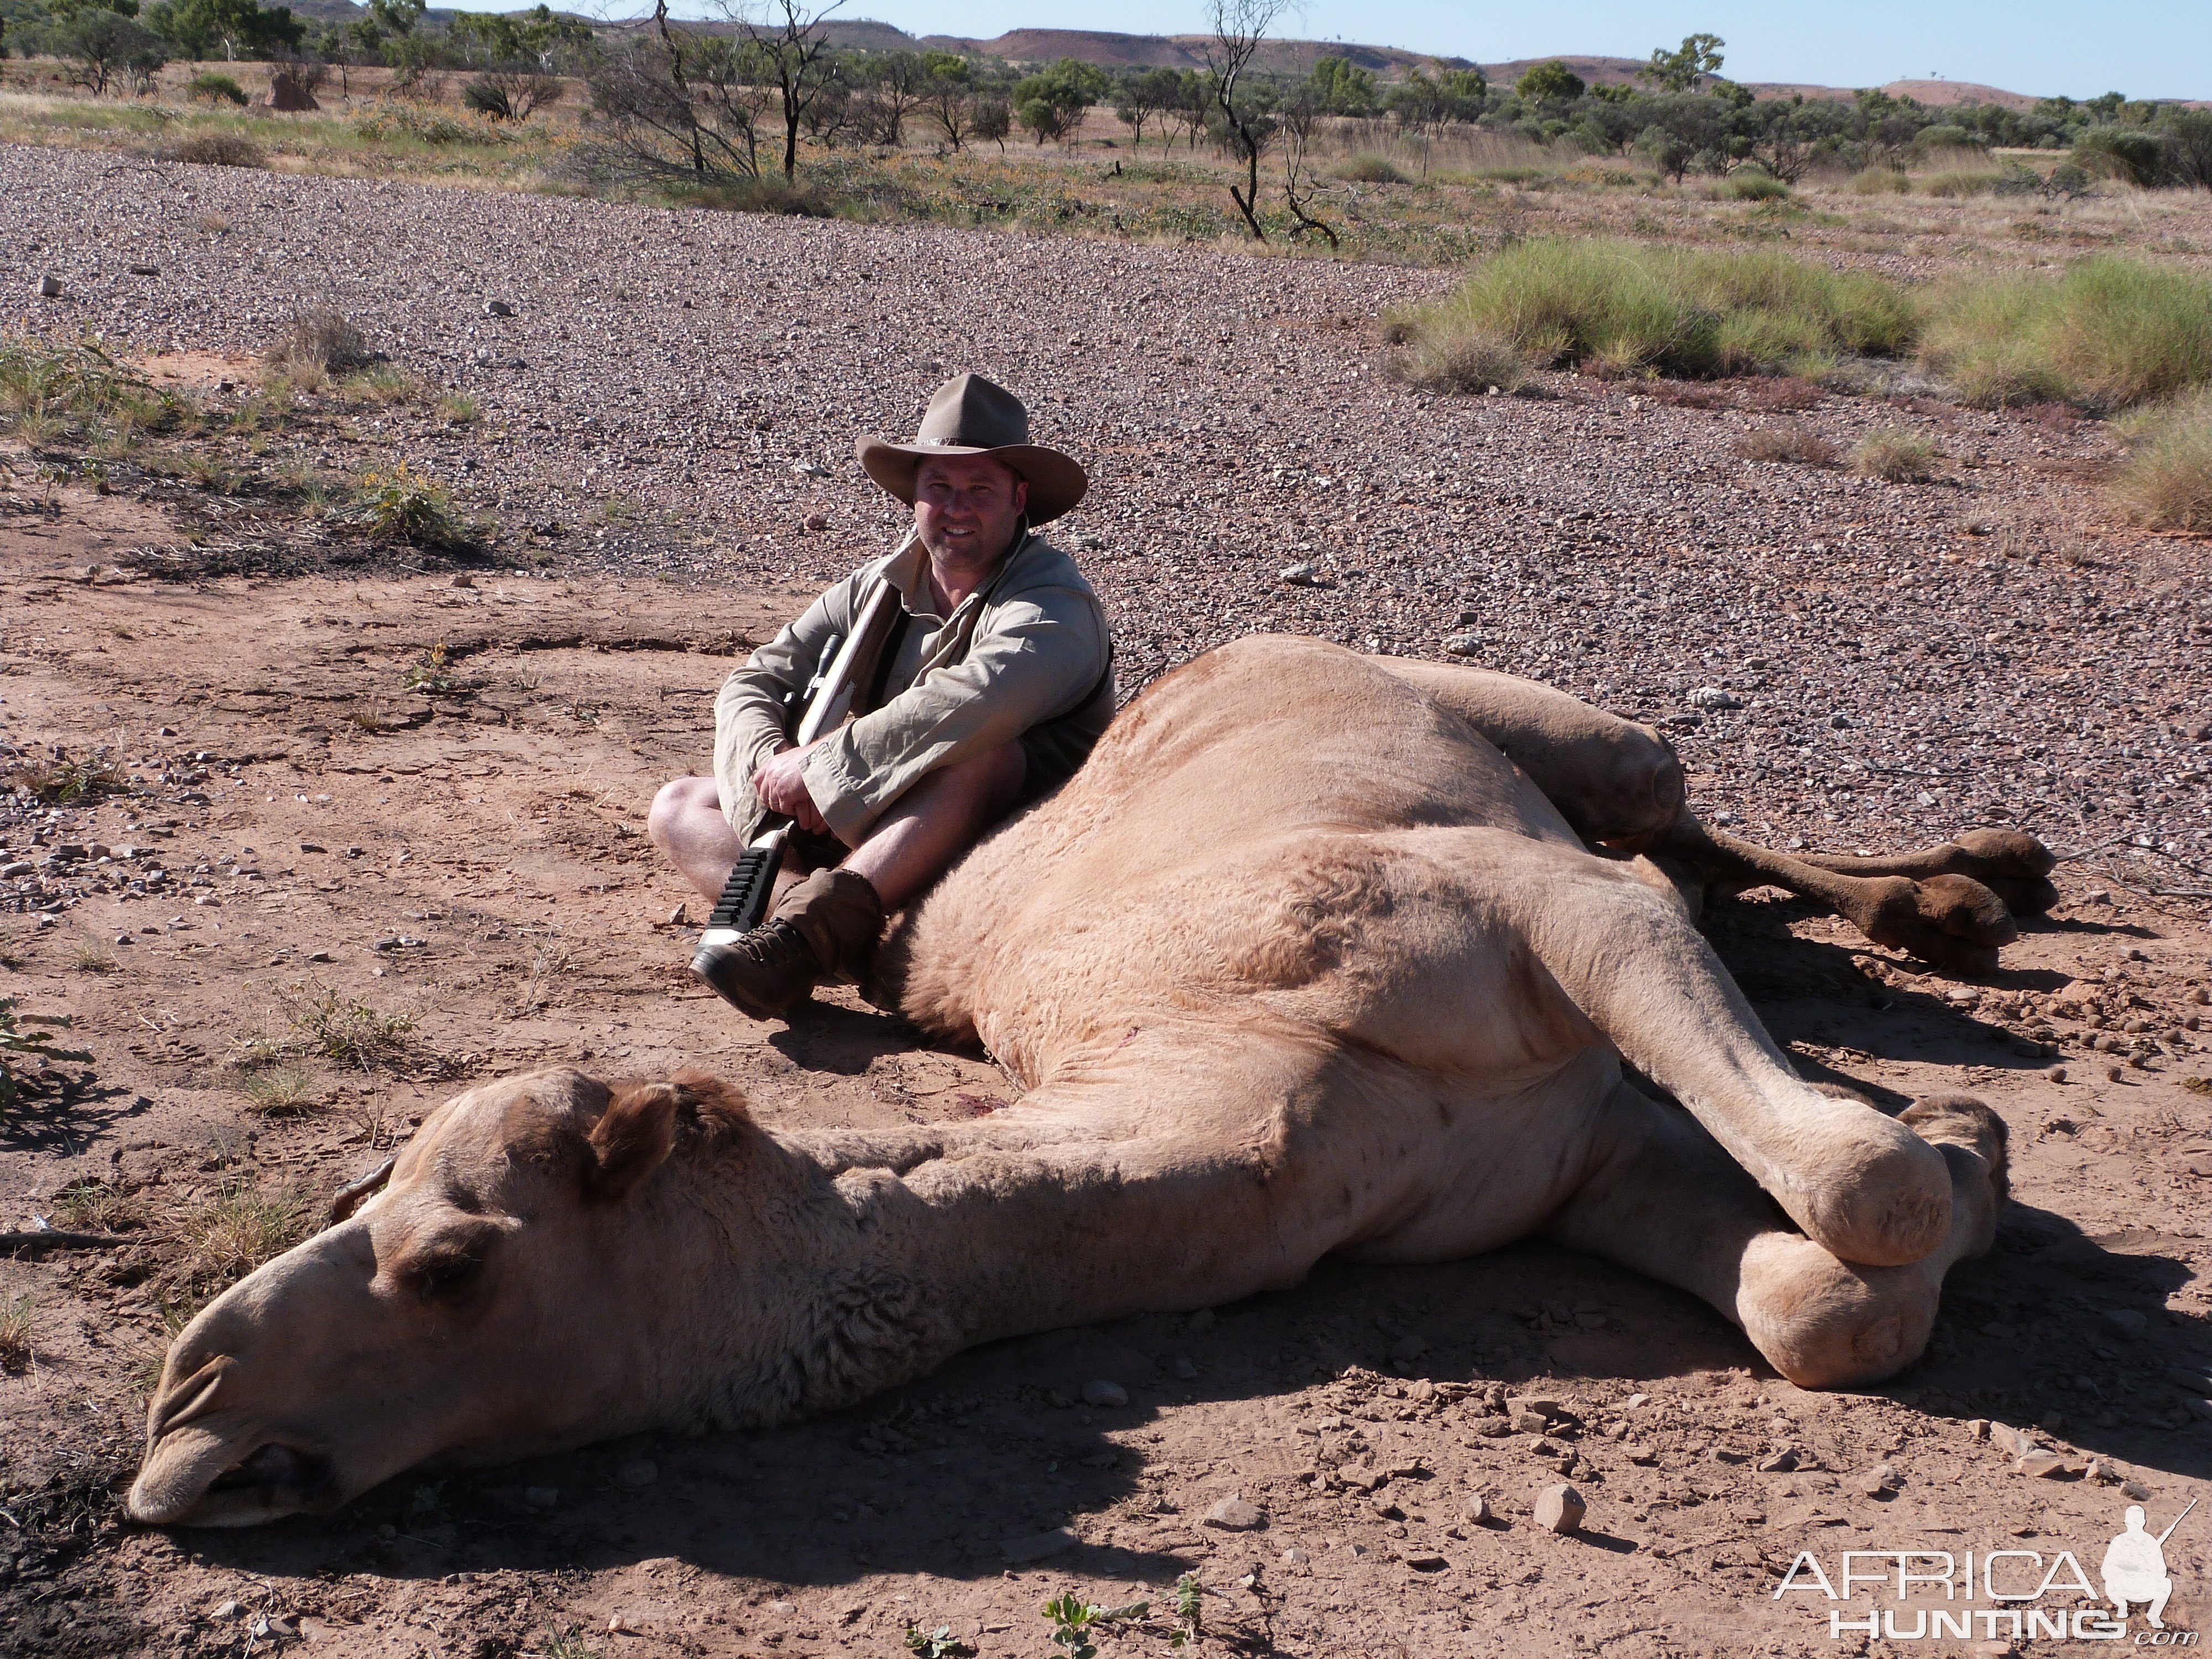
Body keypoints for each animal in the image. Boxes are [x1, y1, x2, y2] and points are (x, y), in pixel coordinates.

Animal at [129, 641, 2044, 1531]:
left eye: (451, 1260)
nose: (185, 1415)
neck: (1249, 1093)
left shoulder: (1516, 912)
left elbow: (1854, 1184)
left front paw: (1959, 1138)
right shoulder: (1578, 1156)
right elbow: (1827, 1301)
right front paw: (1969, 1152)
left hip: (1551, 733)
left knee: (1664, 816)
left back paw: (1974, 892)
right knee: (1692, 860)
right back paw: (1950, 913)